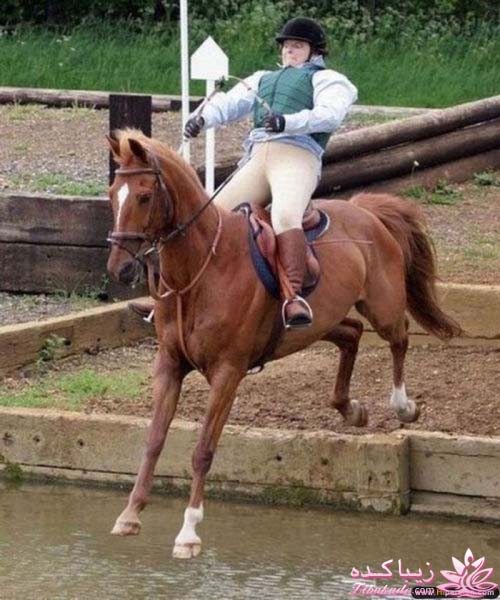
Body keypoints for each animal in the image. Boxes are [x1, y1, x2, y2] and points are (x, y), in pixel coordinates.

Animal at [106, 129, 462, 559]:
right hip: (321, 323)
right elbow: (154, 440)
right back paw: (350, 409)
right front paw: (130, 514)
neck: (202, 271)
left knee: (400, 337)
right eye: (113, 194)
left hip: (383, 306)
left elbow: (203, 451)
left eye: (144, 196)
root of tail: (365, 211)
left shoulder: (228, 373)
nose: (120, 268)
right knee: (352, 334)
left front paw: (188, 532)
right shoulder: (170, 365)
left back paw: (402, 405)